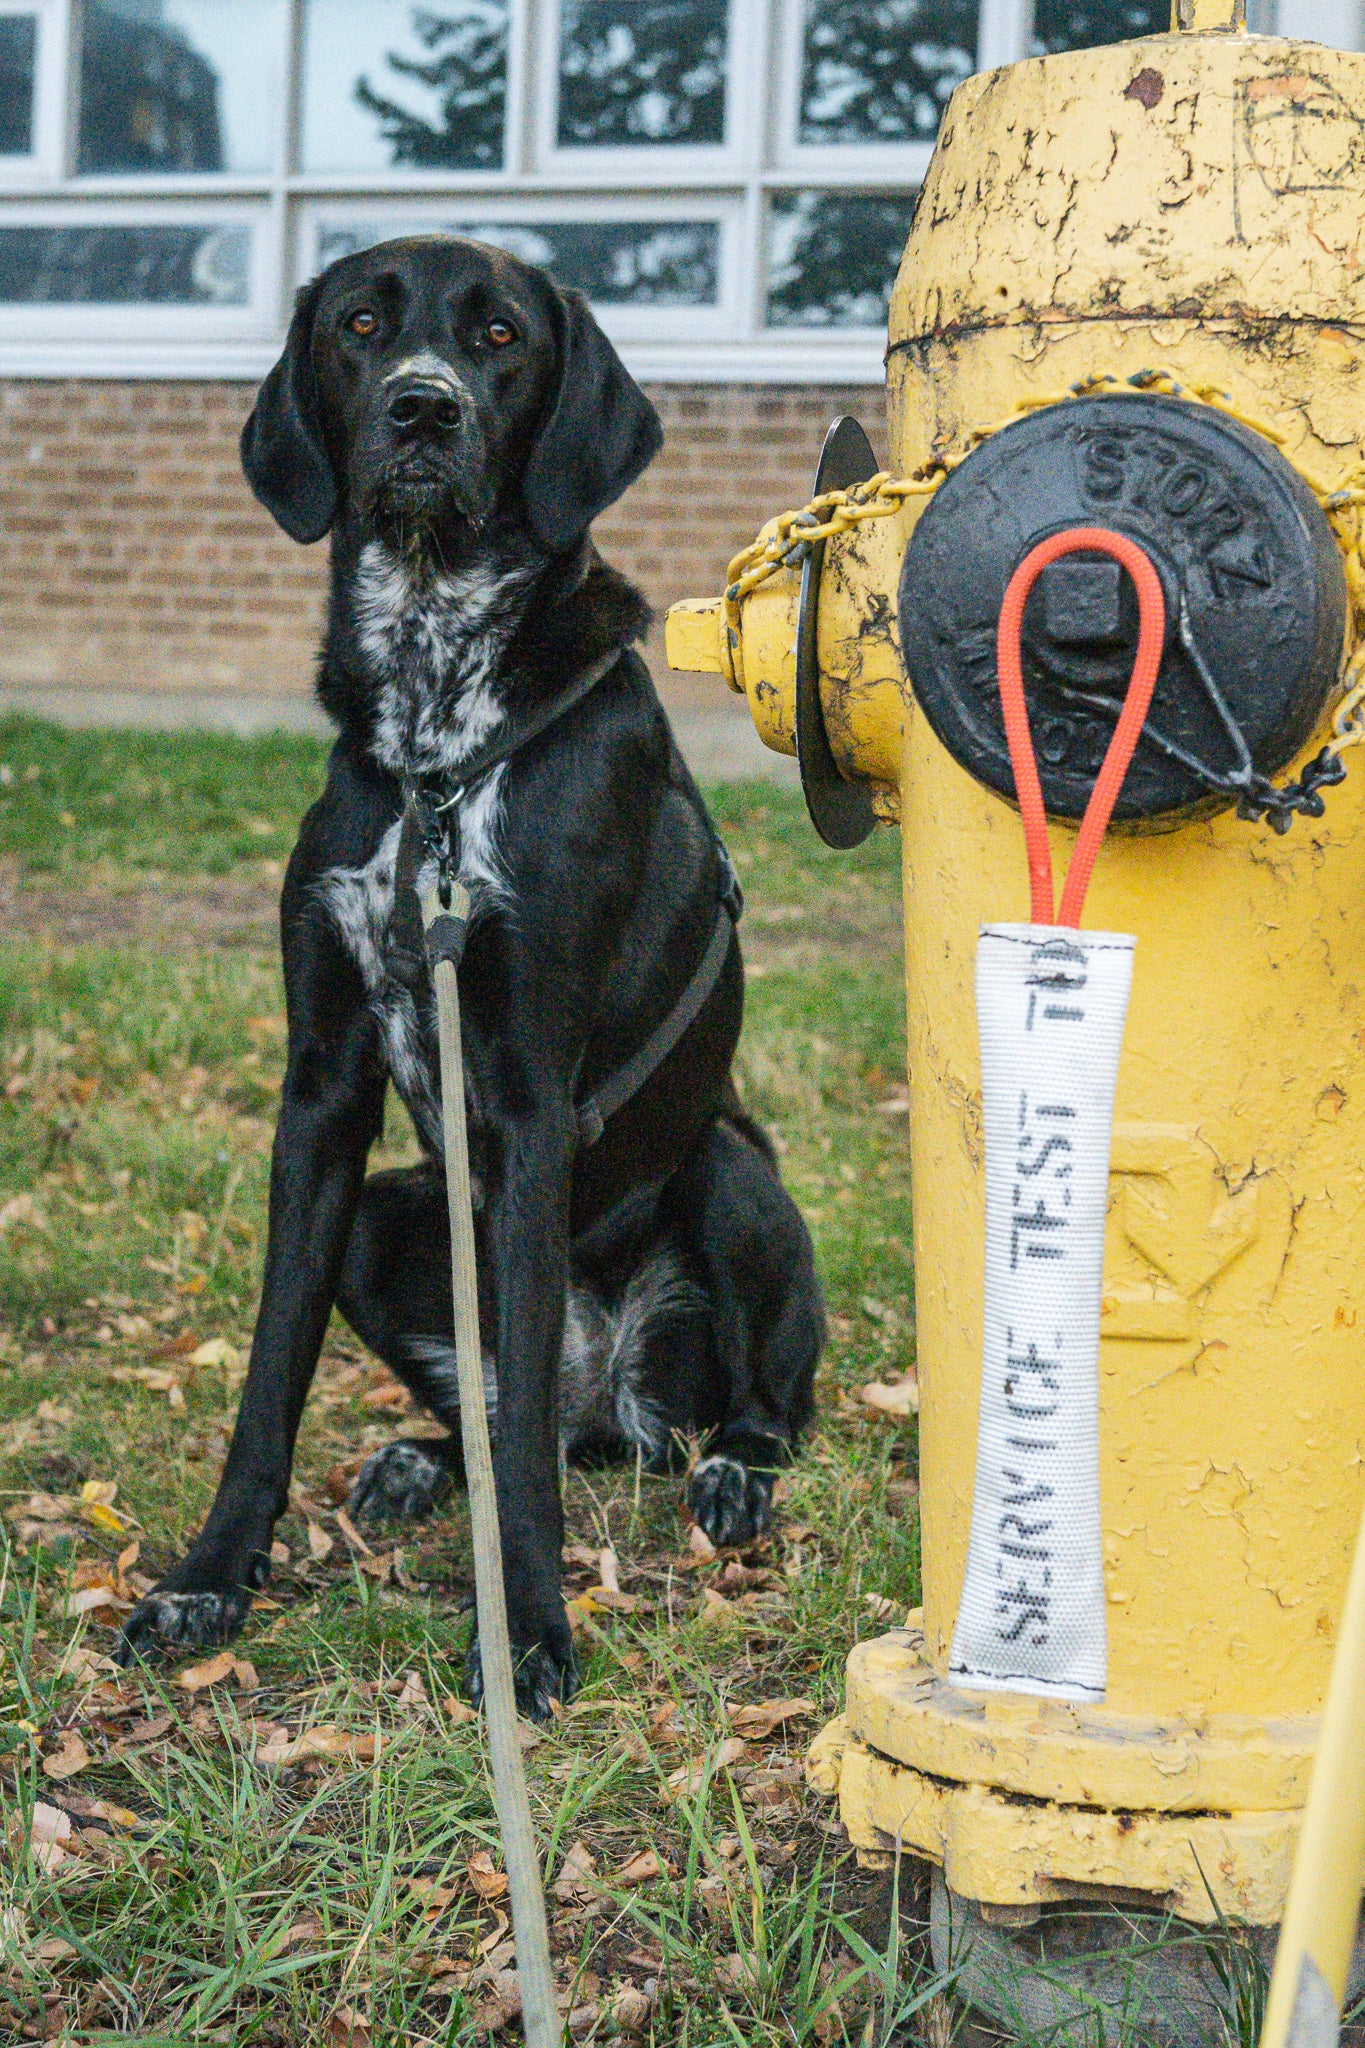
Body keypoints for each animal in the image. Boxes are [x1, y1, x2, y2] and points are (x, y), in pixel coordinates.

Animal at [120, 239, 822, 1712]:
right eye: (359, 325)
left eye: (500, 334)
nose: (421, 409)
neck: (438, 747)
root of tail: (615, 1399)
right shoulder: (320, 1099)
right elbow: (268, 1374)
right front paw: (209, 1580)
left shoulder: (530, 1099)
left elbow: (518, 1444)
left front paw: (531, 1631)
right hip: (394, 1223)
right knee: (509, 1420)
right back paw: (419, 1461)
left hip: (730, 1174)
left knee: (730, 1406)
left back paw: (731, 1470)